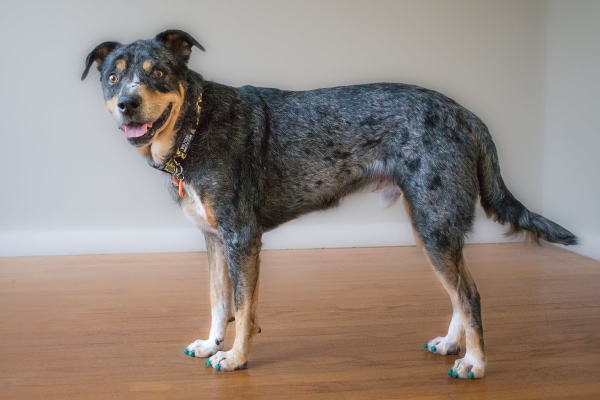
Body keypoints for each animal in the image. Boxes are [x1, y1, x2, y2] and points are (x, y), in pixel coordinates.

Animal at [83, 28, 576, 378]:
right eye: (112, 78)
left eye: (158, 73)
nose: (127, 103)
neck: (195, 127)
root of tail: (466, 115)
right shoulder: (215, 240)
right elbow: (220, 302)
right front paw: (212, 343)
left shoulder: (242, 238)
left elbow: (243, 307)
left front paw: (236, 358)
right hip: (434, 226)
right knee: (459, 291)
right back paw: (453, 344)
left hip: (433, 223)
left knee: (469, 294)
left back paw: (475, 363)